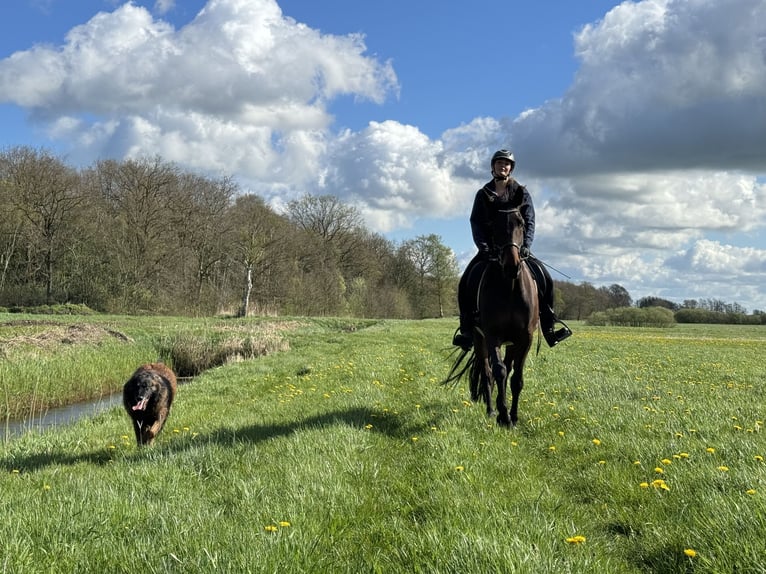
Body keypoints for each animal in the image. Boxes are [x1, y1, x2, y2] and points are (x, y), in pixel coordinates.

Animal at [444, 207, 540, 428]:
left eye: (521, 222)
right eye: (494, 224)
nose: (512, 265)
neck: (510, 288)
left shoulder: (525, 339)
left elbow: (516, 379)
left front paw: (514, 417)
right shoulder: (492, 336)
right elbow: (498, 372)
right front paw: (503, 415)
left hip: (511, 343)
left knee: (508, 368)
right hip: (480, 340)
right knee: (488, 373)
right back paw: (490, 410)